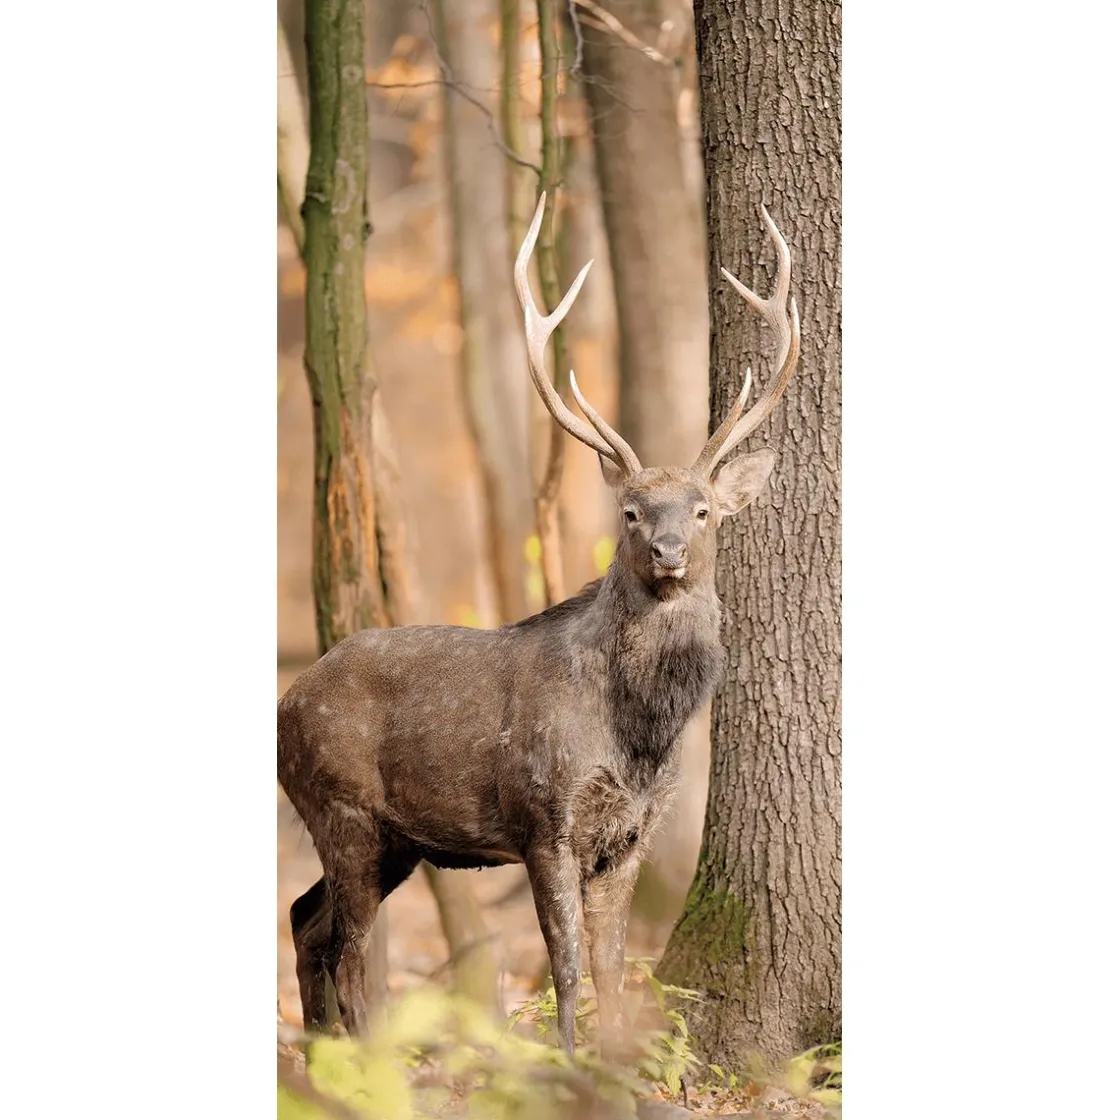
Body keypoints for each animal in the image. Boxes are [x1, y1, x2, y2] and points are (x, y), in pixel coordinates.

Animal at [277, 193, 800, 1057]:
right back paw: (366, 1054)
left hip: (394, 840)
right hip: (340, 806)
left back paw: (325, 1054)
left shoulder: (632, 835)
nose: (668, 552)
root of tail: (286, 700)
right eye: (630, 511)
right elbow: (568, 963)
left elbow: (616, 967)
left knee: (304, 918)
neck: (639, 736)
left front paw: (620, 1062)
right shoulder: (543, 817)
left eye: (702, 510)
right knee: (345, 942)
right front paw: (566, 1059)